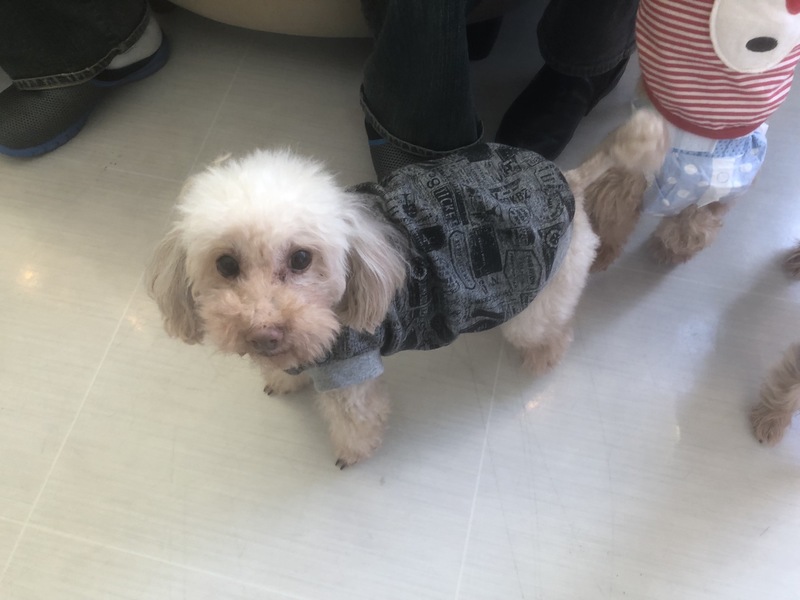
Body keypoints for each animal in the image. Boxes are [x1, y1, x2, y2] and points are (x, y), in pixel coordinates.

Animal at [146, 109, 667, 467]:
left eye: (301, 259)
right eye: (226, 264)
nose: (264, 333)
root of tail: (570, 180)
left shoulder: (351, 367)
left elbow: (357, 419)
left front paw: (353, 452)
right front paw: (282, 376)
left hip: (536, 300)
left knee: (553, 331)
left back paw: (543, 359)